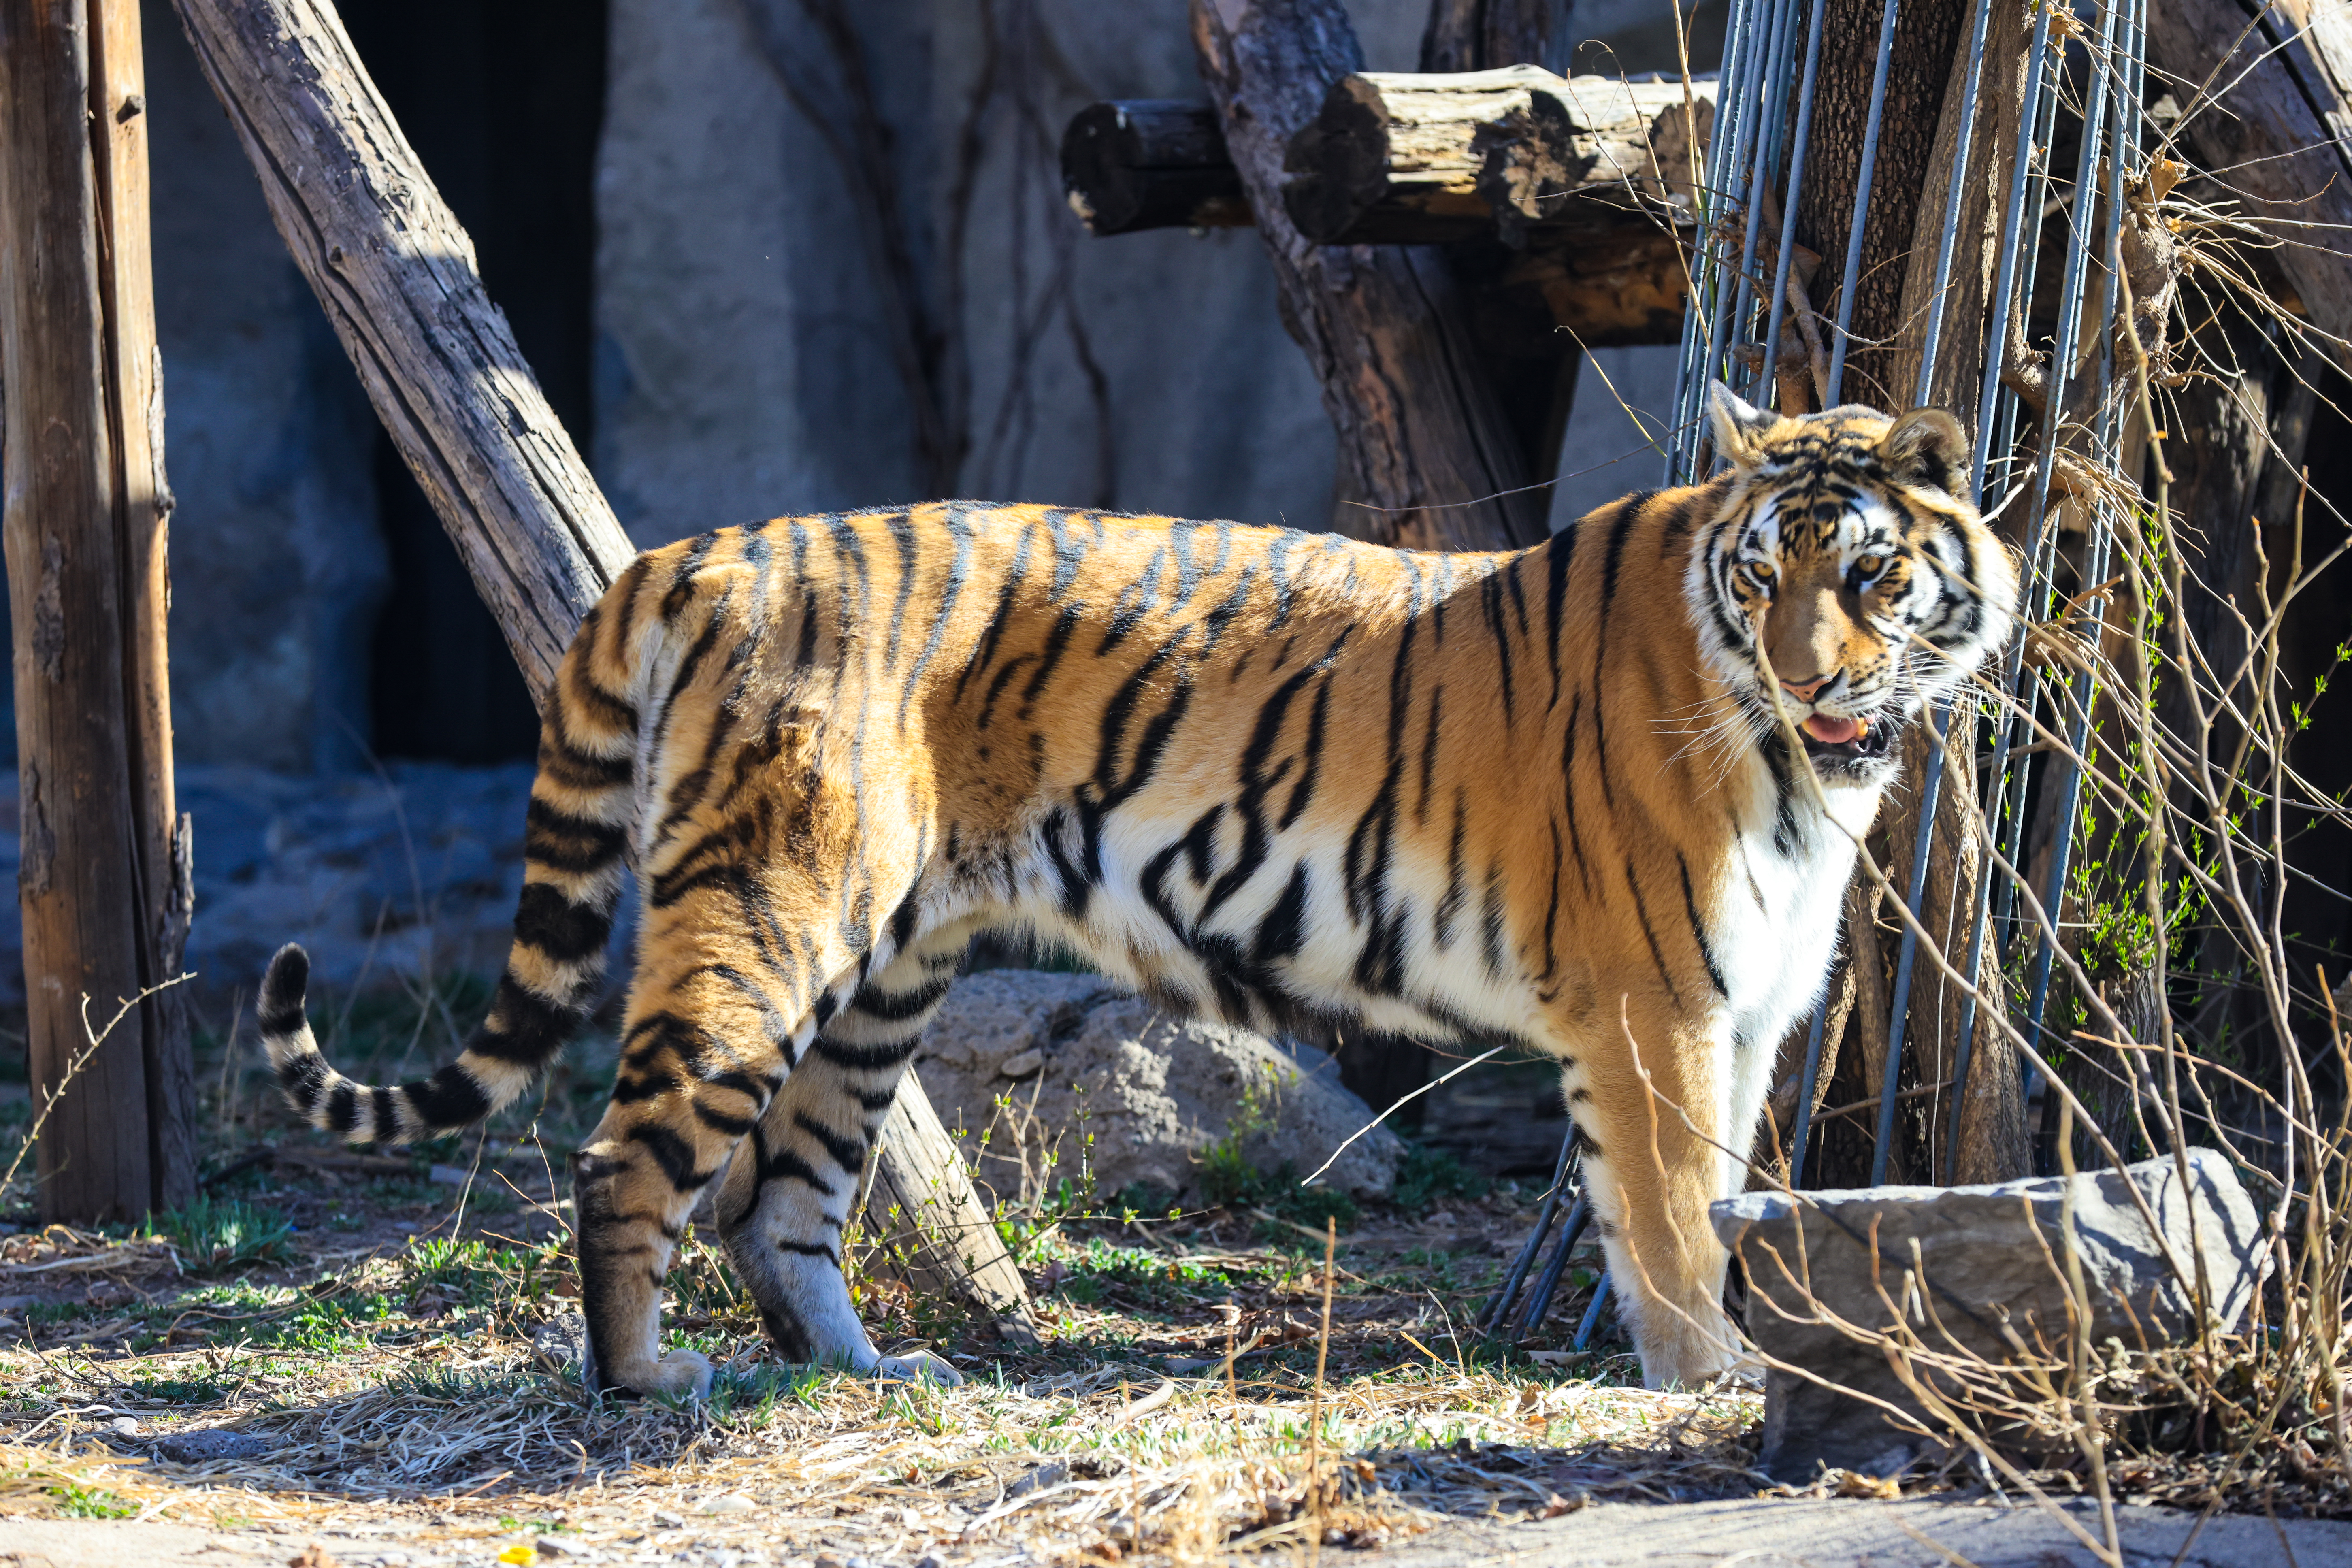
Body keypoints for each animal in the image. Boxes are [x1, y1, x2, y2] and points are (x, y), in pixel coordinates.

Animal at [257, 386, 2022, 1391]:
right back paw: (644, 1383)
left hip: (885, 973)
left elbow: (1715, 1202)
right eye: (1762, 575)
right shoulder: (1652, 1011)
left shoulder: (1745, 1012)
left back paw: (877, 1371)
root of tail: (701, 549)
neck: (1808, 772)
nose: (1808, 681)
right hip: (770, 920)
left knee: (785, 1197)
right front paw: (1704, 1374)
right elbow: (1661, 1216)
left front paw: (1721, 1357)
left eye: (1869, 575)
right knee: (627, 1153)